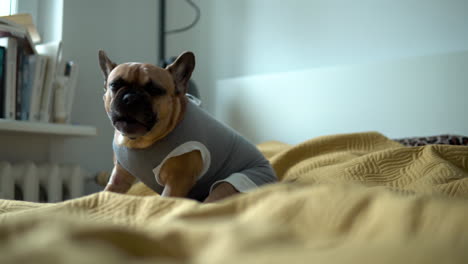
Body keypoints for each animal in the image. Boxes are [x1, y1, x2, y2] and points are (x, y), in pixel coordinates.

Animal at [97, 50, 276, 202]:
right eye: (115, 85)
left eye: (154, 89)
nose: (130, 98)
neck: (139, 141)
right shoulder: (120, 177)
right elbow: (108, 193)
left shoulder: (177, 182)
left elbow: (167, 202)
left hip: (229, 185)